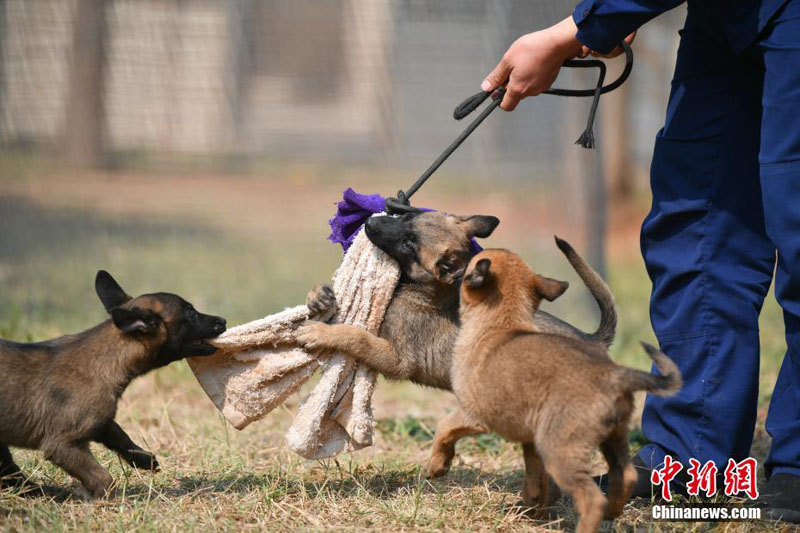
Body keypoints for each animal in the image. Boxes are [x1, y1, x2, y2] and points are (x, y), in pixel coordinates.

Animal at [0, 272, 225, 496]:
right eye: (191, 314)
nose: (223, 320)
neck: (105, 360)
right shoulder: (62, 444)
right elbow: (103, 478)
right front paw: (104, 497)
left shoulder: (100, 421)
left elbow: (119, 434)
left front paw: (143, 458)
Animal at [296, 210, 616, 476]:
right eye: (407, 218)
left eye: (409, 244)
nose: (370, 222)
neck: (424, 291)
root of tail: (590, 341)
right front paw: (318, 296)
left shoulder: (397, 359)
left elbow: (355, 335)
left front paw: (319, 332)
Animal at [450, 249, 680, 532]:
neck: (503, 323)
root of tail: (614, 374)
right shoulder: (530, 437)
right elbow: (534, 477)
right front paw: (531, 505)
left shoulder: (477, 413)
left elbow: (446, 429)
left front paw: (436, 465)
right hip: (610, 436)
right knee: (625, 475)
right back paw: (608, 511)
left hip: (560, 449)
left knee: (591, 498)